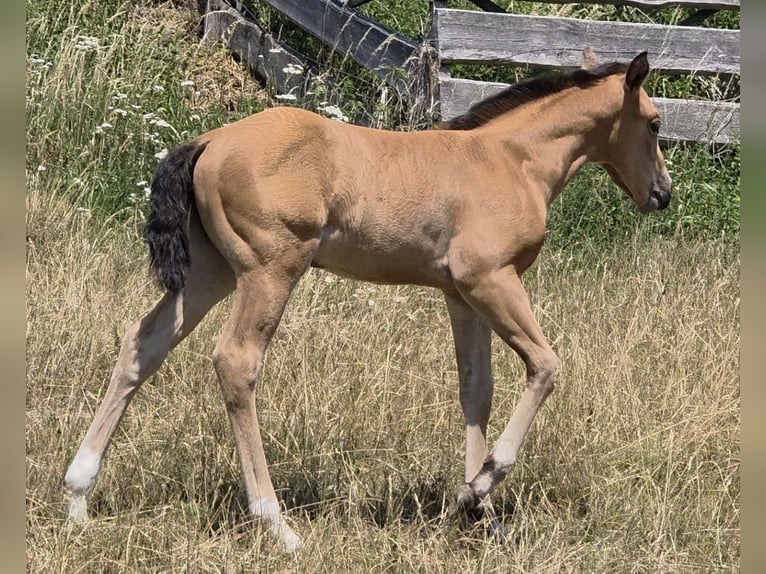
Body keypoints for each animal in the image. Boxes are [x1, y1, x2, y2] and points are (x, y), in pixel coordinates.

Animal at [64, 49, 671, 552]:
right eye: (655, 122)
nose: (662, 195)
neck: (508, 160)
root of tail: (210, 140)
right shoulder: (491, 280)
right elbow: (545, 367)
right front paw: (486, 481)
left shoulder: (461, 295)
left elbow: (476, 391)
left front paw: (475, 507)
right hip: (270, 269)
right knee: (236, 362)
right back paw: (277, 525)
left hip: (211, 272)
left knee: (143, 344)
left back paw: (77, 496)